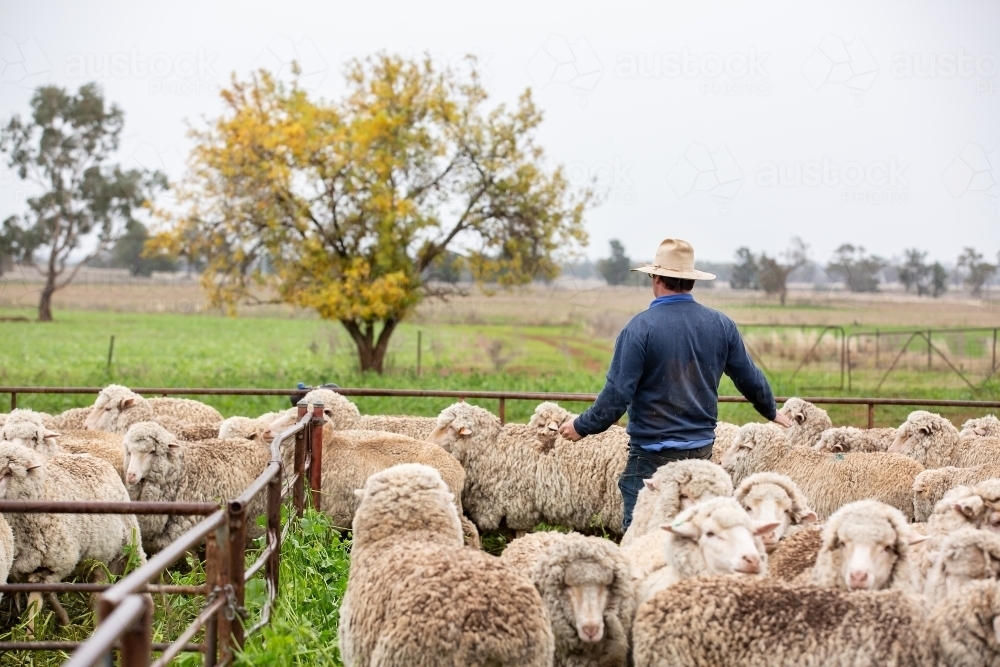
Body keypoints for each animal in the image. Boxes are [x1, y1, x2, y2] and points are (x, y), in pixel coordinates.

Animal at [0, 443, 145, 627]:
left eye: (8, 473)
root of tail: (90, 457)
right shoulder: (23, 568)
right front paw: (64, 621)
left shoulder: (50, 564)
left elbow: (34, 604)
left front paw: (33, 629)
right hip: (101, 555)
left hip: (130, 540)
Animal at [122, 422, 271, 553]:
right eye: (129, 451)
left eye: (152, 451)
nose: (130, 475)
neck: (182, 473)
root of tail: (254, 444)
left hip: (256, 518)